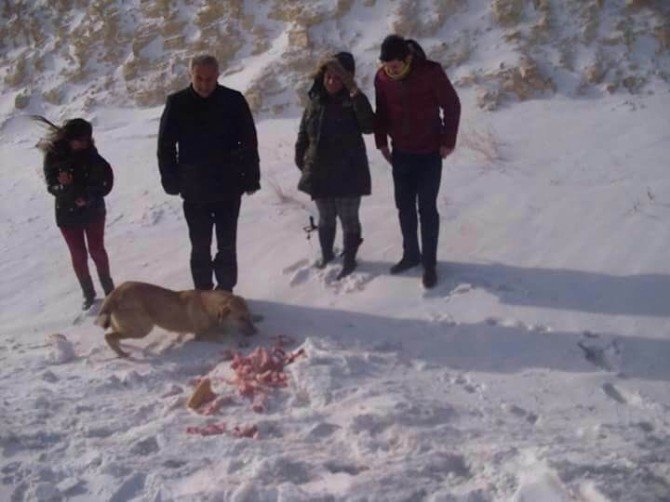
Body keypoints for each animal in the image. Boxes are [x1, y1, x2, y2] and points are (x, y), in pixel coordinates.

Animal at [97, 282, 258, 356]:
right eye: (241, 318)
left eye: (248, 315)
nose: (255, 333)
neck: (208, 306)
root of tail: (115, 292)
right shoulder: (202, 335)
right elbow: (225, 336)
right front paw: (240, 342)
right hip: (142, 328)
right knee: (108, 336)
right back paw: (122, 354)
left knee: (114, 335)